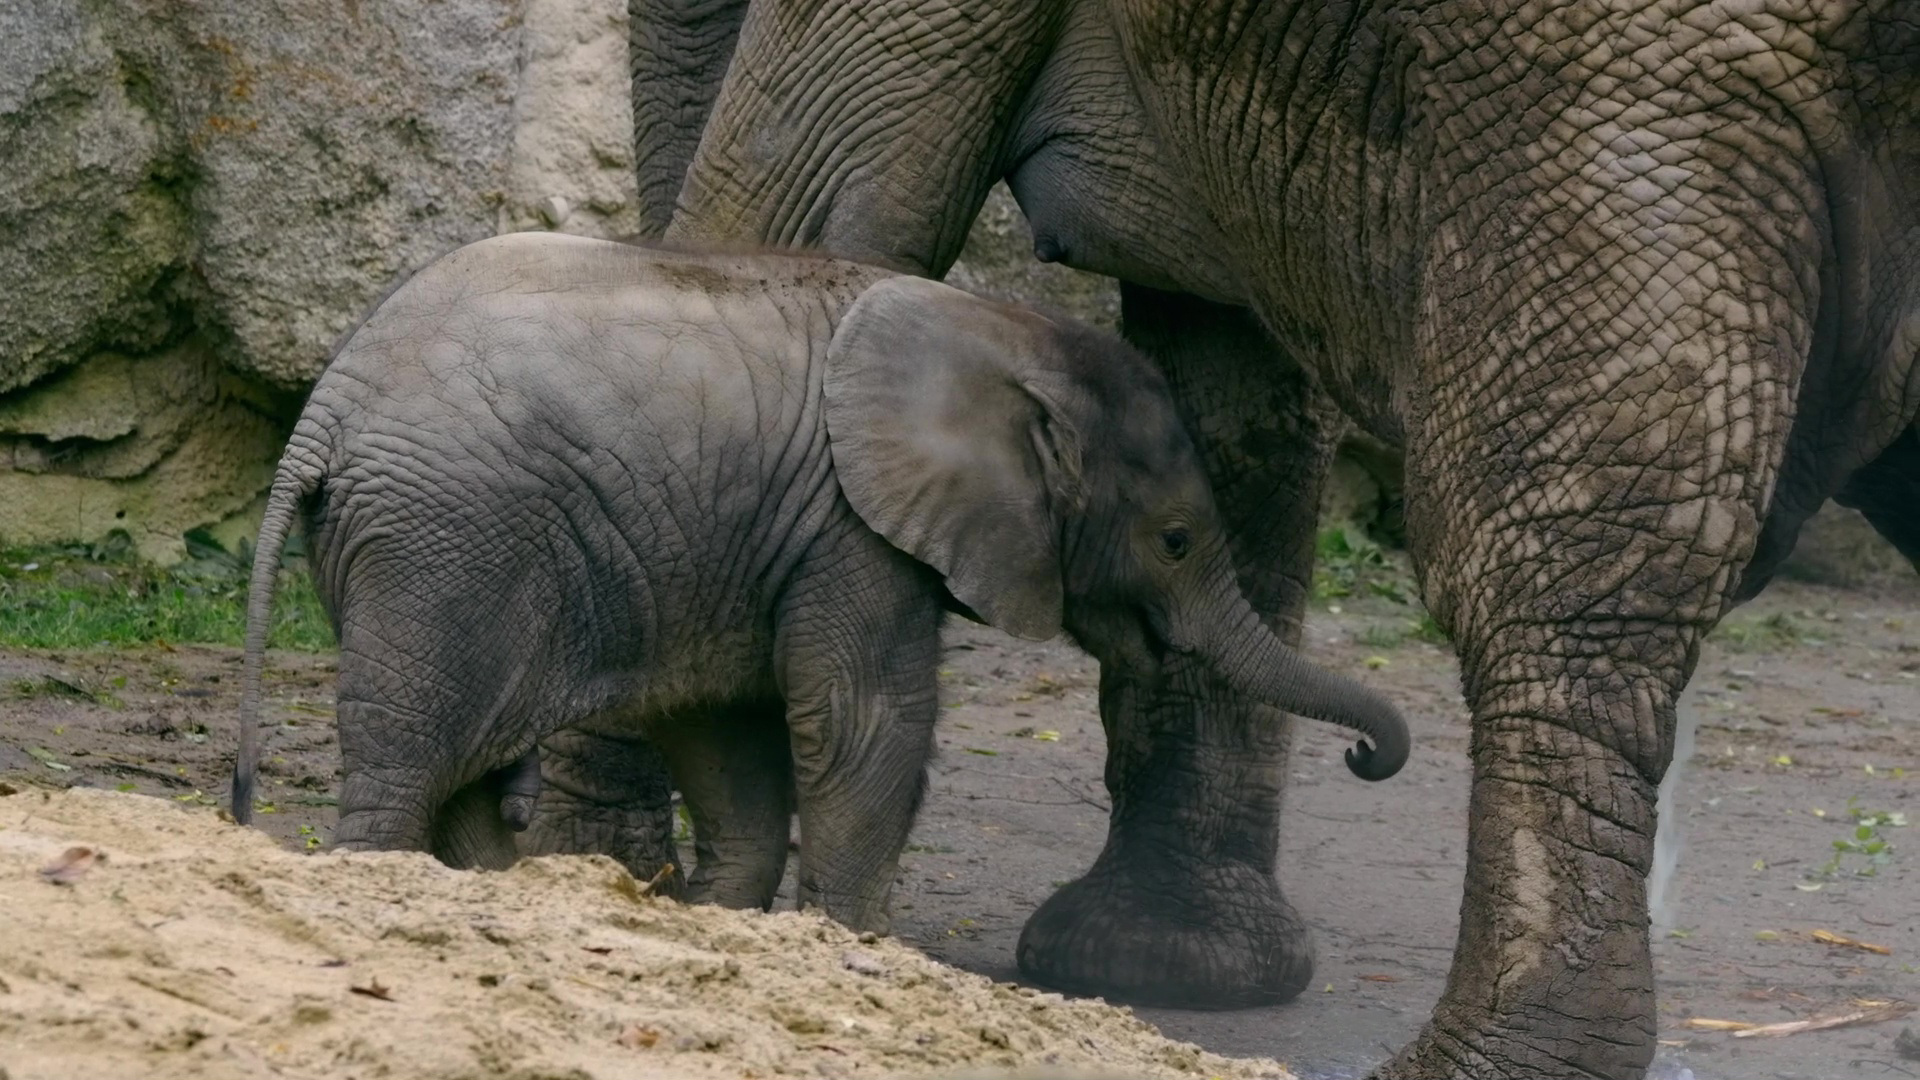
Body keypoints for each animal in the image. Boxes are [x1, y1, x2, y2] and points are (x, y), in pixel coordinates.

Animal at [229, 232, 1410, 934]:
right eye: (1172, 541)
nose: (1367, 757)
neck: (1001, 331)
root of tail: (325, 409)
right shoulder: (854, 525)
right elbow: (861, 720)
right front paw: (850, 942)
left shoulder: (752, 539)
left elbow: (732, 732)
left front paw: (732, 927)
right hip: (444, 545)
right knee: (410, 758)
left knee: (463, 772)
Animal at [625, 0, 1920, 1075]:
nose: (1367, 759)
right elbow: (1232, 392)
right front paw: (1172, 971)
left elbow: (802, 200)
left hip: (1629, 79)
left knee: (1563, 559)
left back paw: (1482, 1063)